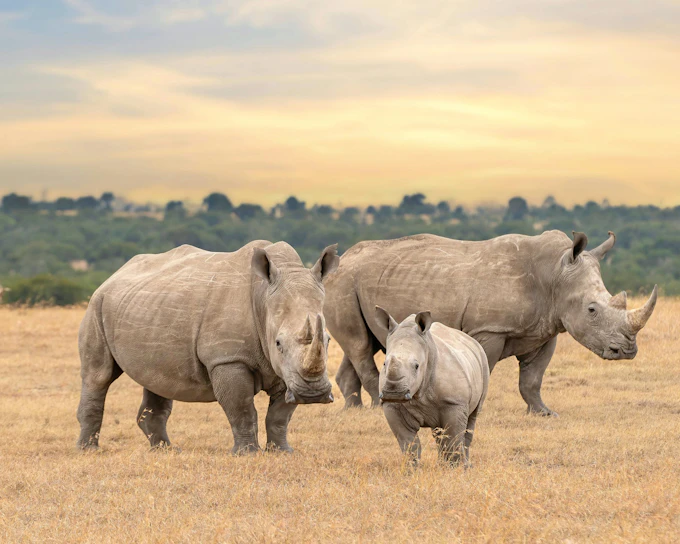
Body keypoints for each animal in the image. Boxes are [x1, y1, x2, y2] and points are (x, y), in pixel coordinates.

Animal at [77, 241, 339, 454]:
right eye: (278, 343)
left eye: (327, 340)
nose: (313, 394)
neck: (264, 297)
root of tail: (114, 274)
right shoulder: (228, 359)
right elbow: (241, 408)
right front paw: (247, 454)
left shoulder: (286, 370)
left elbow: (280, 415)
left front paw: (282, 452)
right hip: (97, 304)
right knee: (98, 376)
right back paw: (89, 451)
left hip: (145, 308)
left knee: (156, 379)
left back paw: (165, 450)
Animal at [324, 231, 657, 416]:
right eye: (591, 310)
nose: (627, 351)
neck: (554, 274)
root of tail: (341, 261)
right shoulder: (489, 330)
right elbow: (485, 368)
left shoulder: (547, 329)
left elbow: (533, 379)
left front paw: (544, 413)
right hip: (344, 283)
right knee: (358, 345)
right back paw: (378, 407)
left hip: (363, 283)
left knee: (364, 344)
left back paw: (353, 409)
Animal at [376, 307, 489, 466]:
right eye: (384, 364)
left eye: (417, 366)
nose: (394, 394)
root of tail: (471, 340)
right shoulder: (392, 406)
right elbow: (409, 444)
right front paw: (411, 469)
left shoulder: (454, 403)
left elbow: (453, 440)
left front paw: (454, 469)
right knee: (439, 433)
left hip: (483, 360)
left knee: (471, 420)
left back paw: (465, 465)